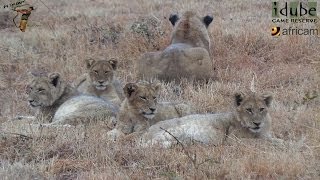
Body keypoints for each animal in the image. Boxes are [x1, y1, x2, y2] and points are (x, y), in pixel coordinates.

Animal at [141, 91, 282, 148]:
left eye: (262, 109)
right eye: (249, 110)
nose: (257, 123)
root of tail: (146, 132)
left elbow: (273, 139)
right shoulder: (233, 140)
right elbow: (261, 142)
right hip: (176, 129)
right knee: (149, 144)